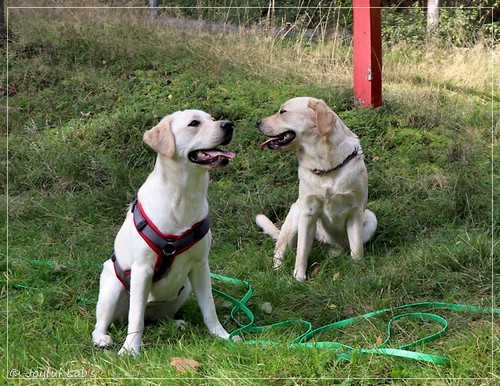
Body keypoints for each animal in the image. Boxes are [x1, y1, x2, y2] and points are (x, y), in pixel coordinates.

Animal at [92, 108, 236, 356]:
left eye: (213, 118)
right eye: (194, 123)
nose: (228, 125)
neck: (183, 195)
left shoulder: (201, 266)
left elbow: (209, 308)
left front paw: (222, 336)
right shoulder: (142, 269)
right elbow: (135, 317)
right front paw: (130, 350)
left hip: (184, 288)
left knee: (155, 317)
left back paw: (175, 323)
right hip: (112, 287)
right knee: (107, 322)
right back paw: (102, 338)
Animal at [256, 97, 376, 280]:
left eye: (282, 112)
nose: (258, 122)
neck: (325, 165)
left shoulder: (355, 211)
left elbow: (357, 249)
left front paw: (358, 270)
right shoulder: (308, 213)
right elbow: (302, 251)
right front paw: (299, 278)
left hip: (371, 218)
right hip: (296, 215)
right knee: (280, 250)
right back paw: (278, 269)